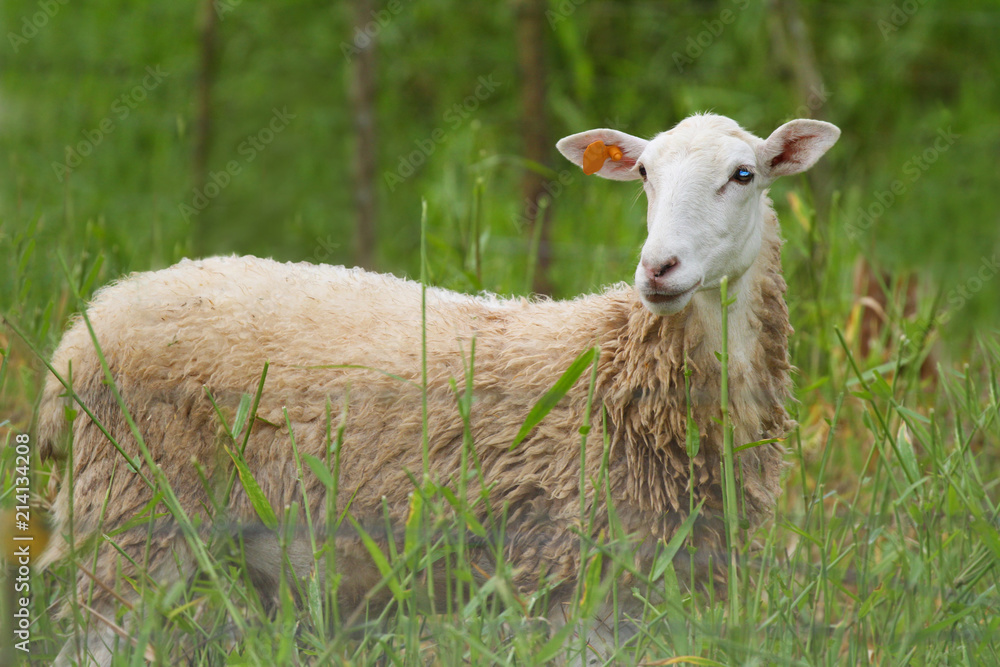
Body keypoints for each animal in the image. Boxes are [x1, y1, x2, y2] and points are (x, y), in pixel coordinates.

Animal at [37, 112, 836, 664]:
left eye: (744, 175)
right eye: (643, 174)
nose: (658, 269)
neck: (618, 365)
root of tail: (82, 331)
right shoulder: (573, 580)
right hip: (130, 513)